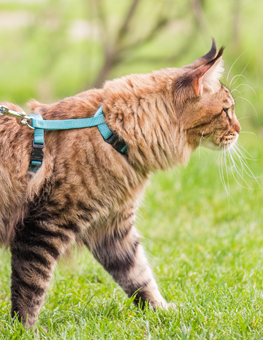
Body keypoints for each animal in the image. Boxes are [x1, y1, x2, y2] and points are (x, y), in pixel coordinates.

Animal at [0, 38, 241, 328]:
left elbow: (139, 275)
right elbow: (31, 287)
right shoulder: (45, 225)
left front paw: (163, 311)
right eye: (226, 111)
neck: (114, 132)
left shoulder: (112, 226)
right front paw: (25, 329)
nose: (239, 130)